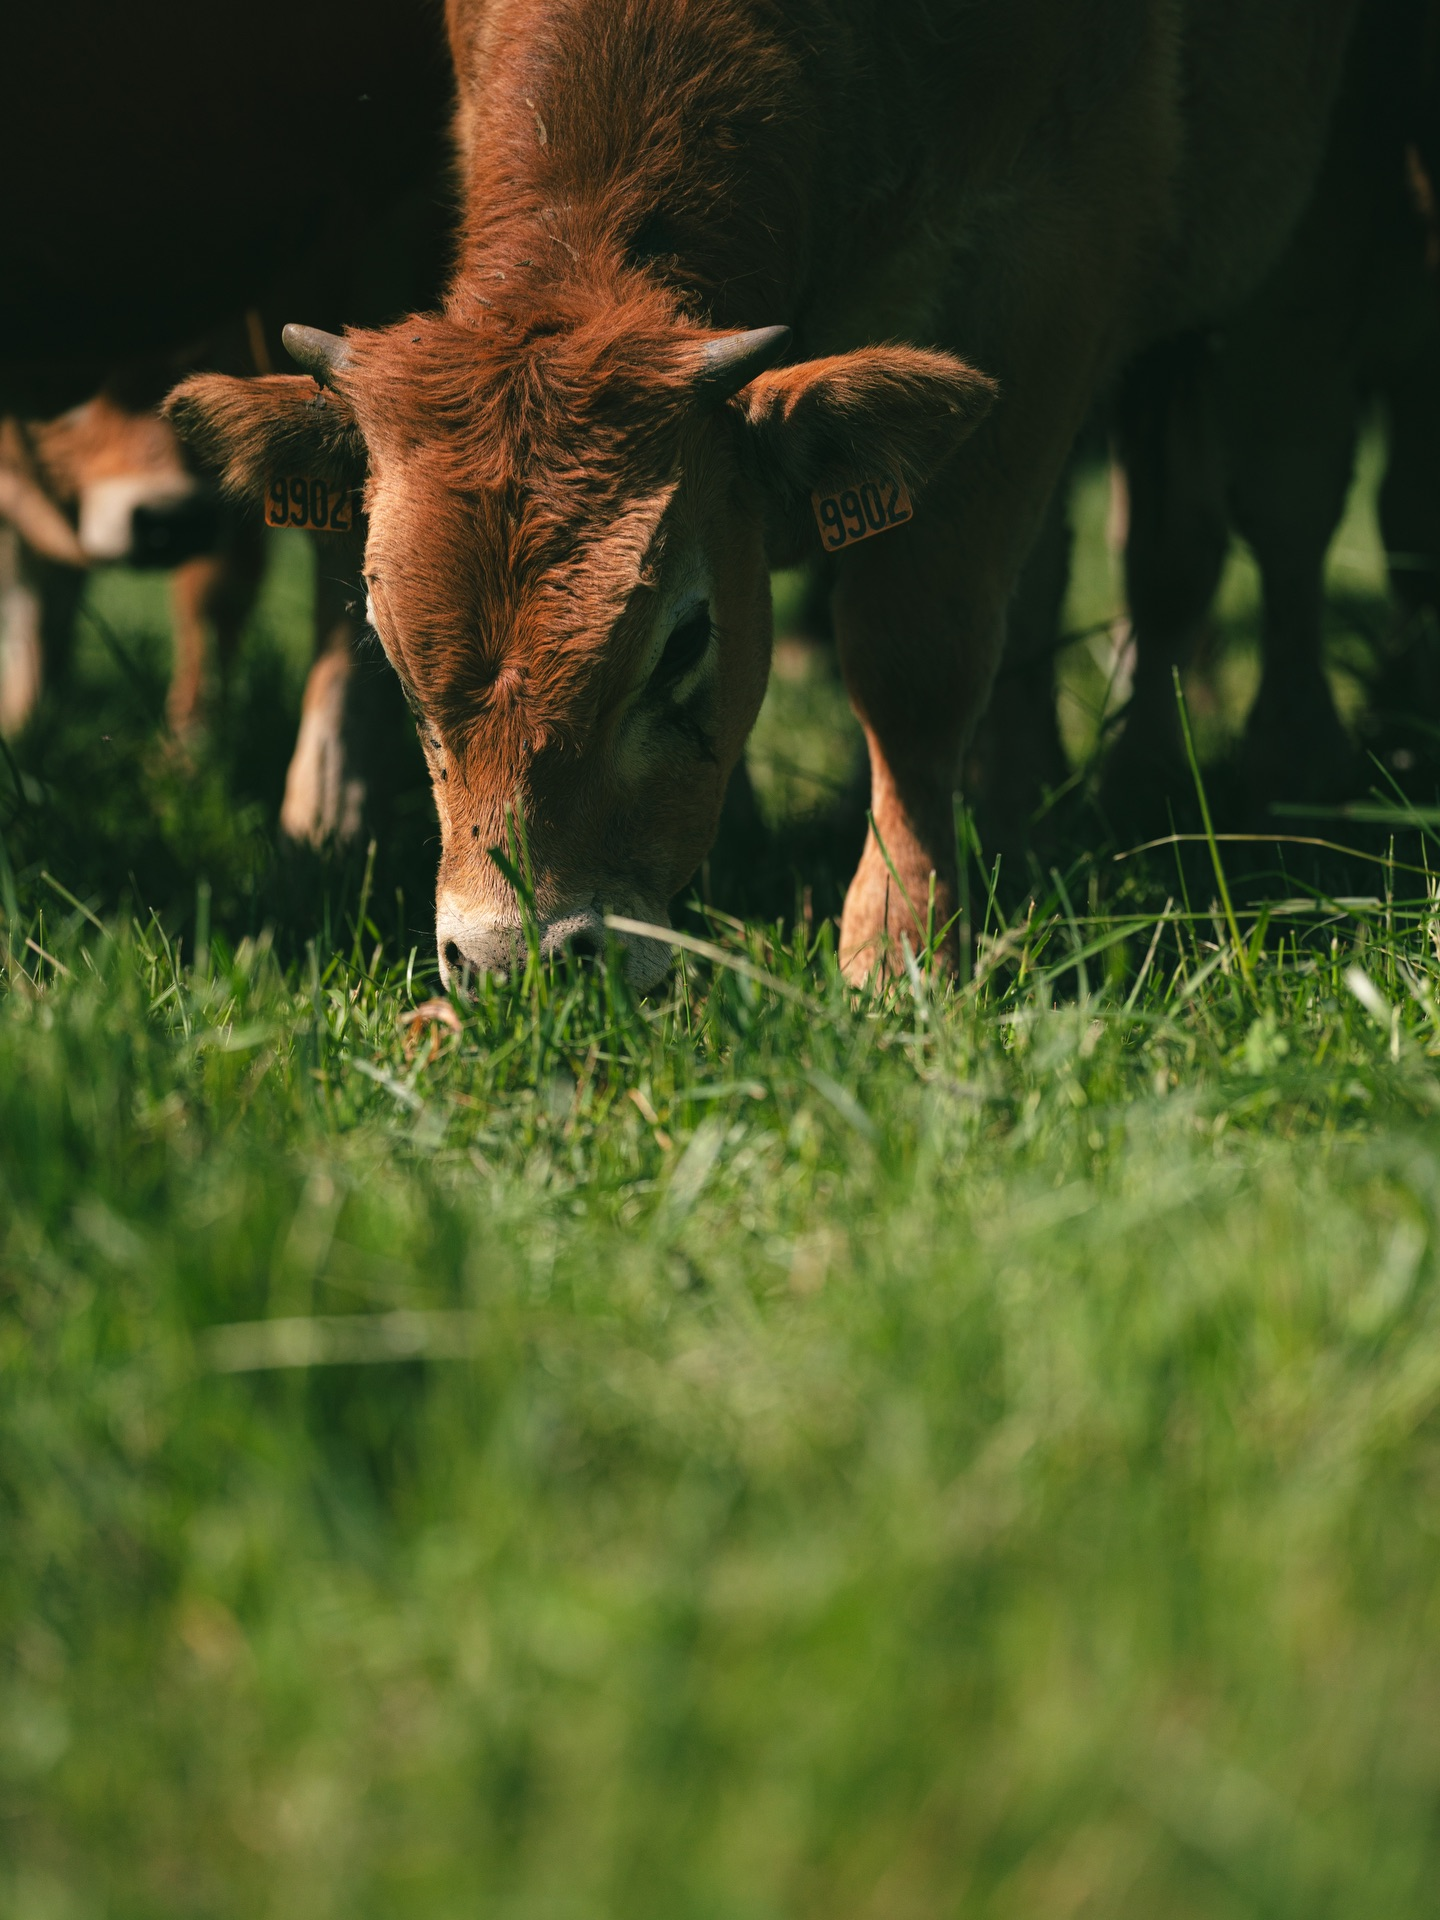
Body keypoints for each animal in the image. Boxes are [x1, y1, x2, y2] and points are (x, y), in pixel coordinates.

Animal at [168, 0, 1369, 986]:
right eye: (389, 646)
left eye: (682, 642)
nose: (514, 961)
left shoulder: (1049, 254)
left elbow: (915, 651)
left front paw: (901, 943)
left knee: (1252, 525)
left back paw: (1257, 759)